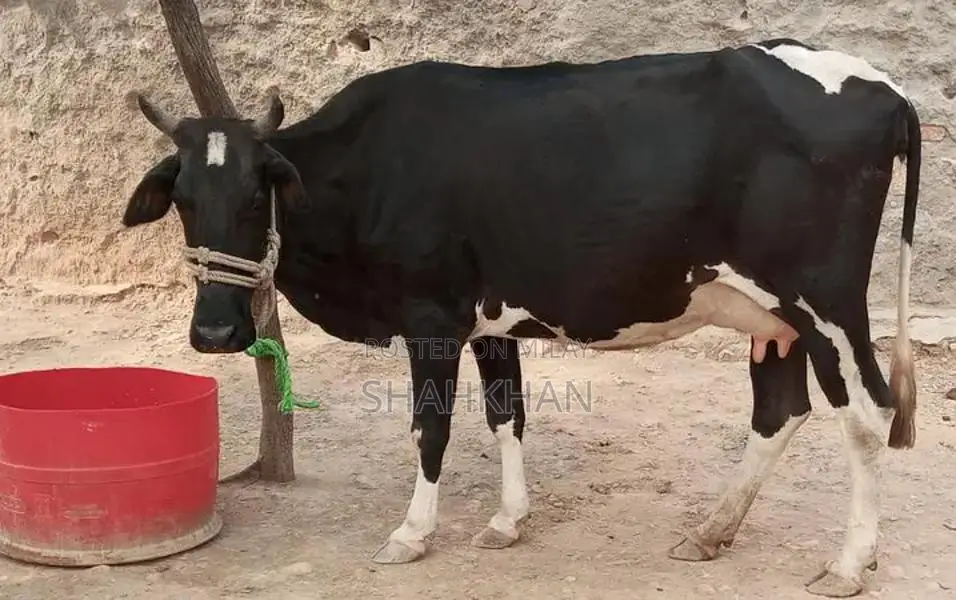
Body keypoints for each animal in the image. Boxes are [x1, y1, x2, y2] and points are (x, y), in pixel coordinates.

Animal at [120, 37, 920, 597]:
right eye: (182, 199)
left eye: (255, 195)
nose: (215, 332)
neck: (368, 166)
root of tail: (881, 85)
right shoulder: (489, 320)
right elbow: (508, 415)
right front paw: (508, 521)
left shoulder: (432, 315)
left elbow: (431, 427)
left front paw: (412, 533)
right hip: (774, 317)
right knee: (780, 411)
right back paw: (711, 531)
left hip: (827, 301)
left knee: (868, 413)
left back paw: (848, 563)